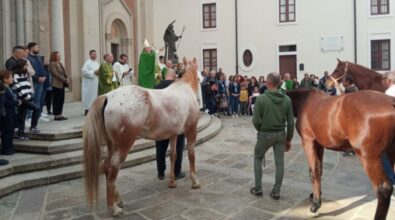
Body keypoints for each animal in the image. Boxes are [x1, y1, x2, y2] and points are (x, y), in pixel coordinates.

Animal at [83, 58, 201, 217]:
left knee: (107, 167)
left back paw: (118, 200)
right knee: (112, 168)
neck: (184, 89)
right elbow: (191, 154)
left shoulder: (173, 134)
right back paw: (114, 208)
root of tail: (107, 96)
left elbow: (173, 155)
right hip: (124, 145)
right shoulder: (191, 129)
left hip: (111, 144)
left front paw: (172, 182)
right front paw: (195, 182)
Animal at [286, 88, 395, 219]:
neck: (305, 101)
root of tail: (391, 102)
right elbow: (319, 169)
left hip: (369, 157)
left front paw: (315, 205)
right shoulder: (319, 144)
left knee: (383, 189)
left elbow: (313, 172)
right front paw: (316, 196)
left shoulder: (308, 140)